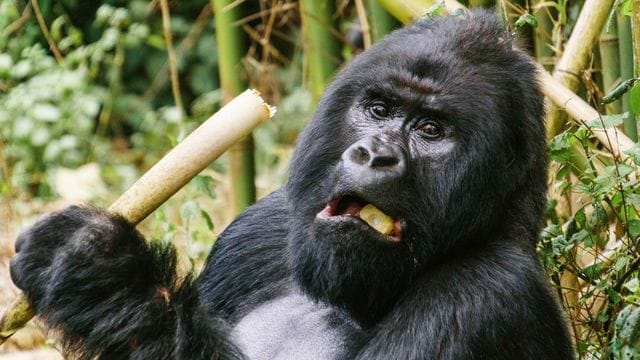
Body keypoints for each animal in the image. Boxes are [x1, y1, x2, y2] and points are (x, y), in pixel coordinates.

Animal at [10, 9, 572, 358]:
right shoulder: (259, 226)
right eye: (379, 109)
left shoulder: (483, 296)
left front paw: (104, 272)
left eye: (432, 130)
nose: (375, 154)